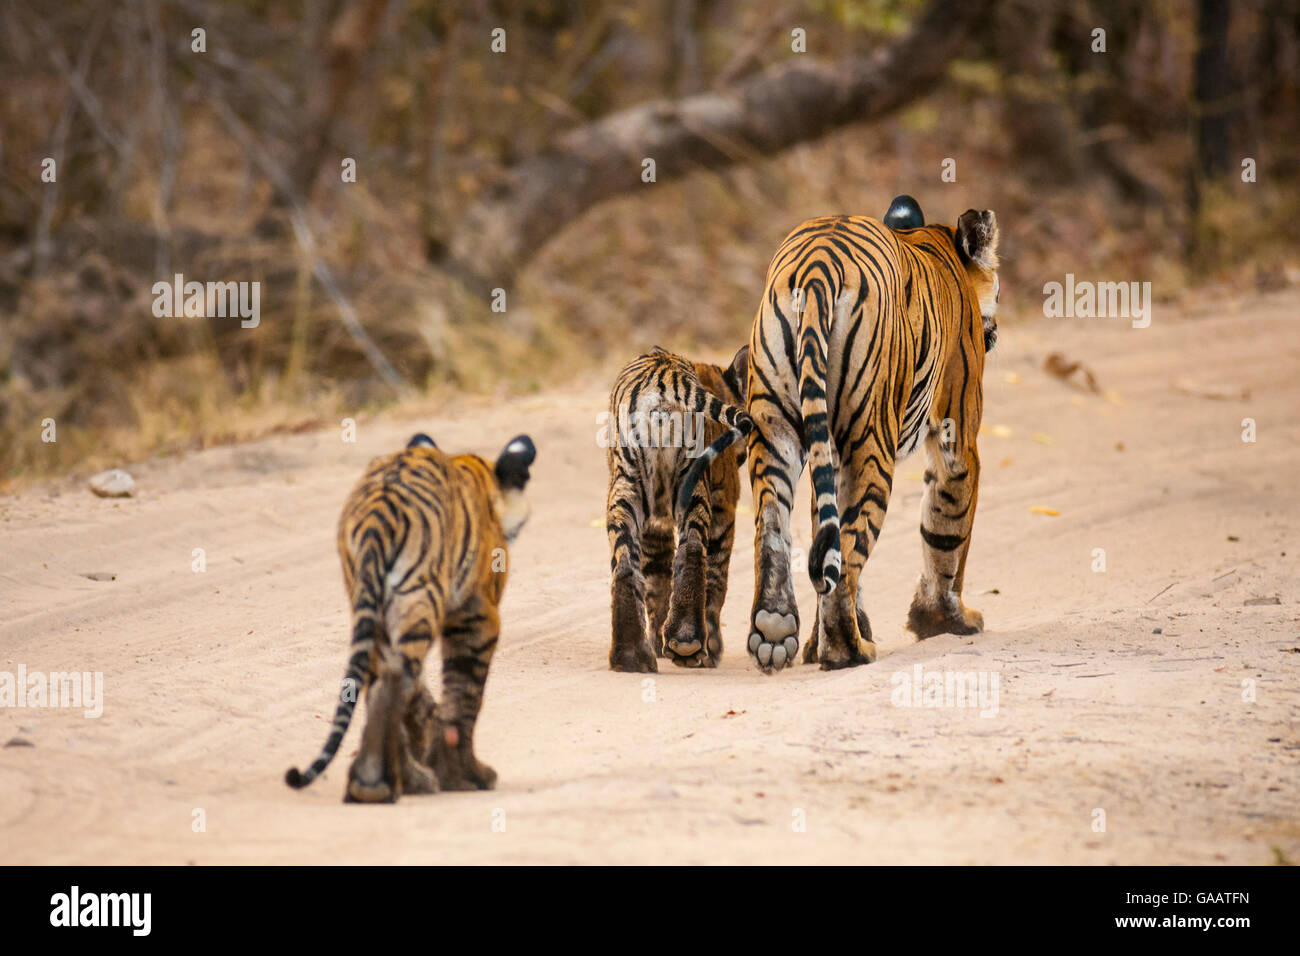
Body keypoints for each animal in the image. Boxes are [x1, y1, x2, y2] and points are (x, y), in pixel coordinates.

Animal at [287, 431, 535, 801]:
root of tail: (377, 512)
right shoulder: (476, 615)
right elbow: (465, 697)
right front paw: (467, 776)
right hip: (417, 598)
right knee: (395, 680)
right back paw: (379, 785)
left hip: (373, 607)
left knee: (381, 681)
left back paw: (396, 780)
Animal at [738, 195, 998, 671]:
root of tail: (817, 264)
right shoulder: (958, 436)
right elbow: (948, 530)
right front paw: (943, 620)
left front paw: (814, 642)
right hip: (871, 443)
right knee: (849, 554)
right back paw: (849, 650)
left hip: (773, 428)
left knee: (775, 530)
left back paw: (775, 630)